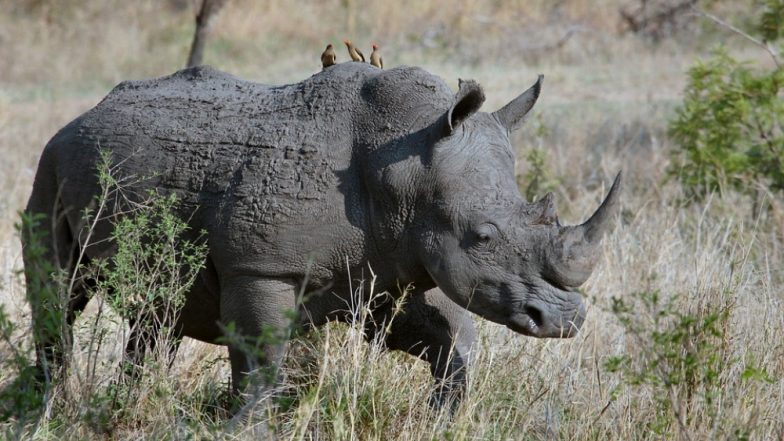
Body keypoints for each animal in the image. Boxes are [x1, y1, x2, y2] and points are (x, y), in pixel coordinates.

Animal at [23, 62, 620, 407]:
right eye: (483, 235)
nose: (564, 321)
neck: (406, 167)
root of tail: (85, 113)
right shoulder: (261, 267)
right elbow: (261, 364)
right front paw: (248, 426)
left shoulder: (387, 265)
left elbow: (451, 341)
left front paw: (441, 415)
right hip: (50, 162)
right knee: (59, 292)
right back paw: (48, 409)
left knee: (158, 313)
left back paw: (121, 408)